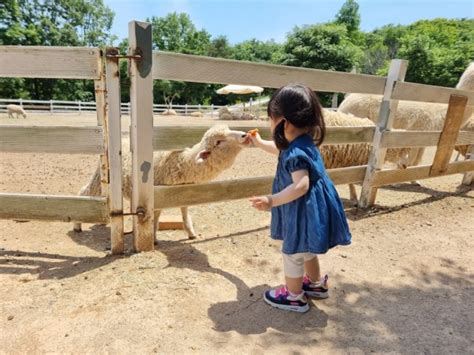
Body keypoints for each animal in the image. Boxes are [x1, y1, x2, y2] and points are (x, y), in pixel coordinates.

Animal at [74, 124, 248, 239]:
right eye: (218, 142)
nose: (245, 135)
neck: (181, 163)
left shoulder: (183, 191)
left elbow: (184, 212)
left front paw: (191, 233)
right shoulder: (157, 194)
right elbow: (156, 217)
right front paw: (154, 237)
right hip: (100, 175)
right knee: (84, 191)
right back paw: (77, 225)